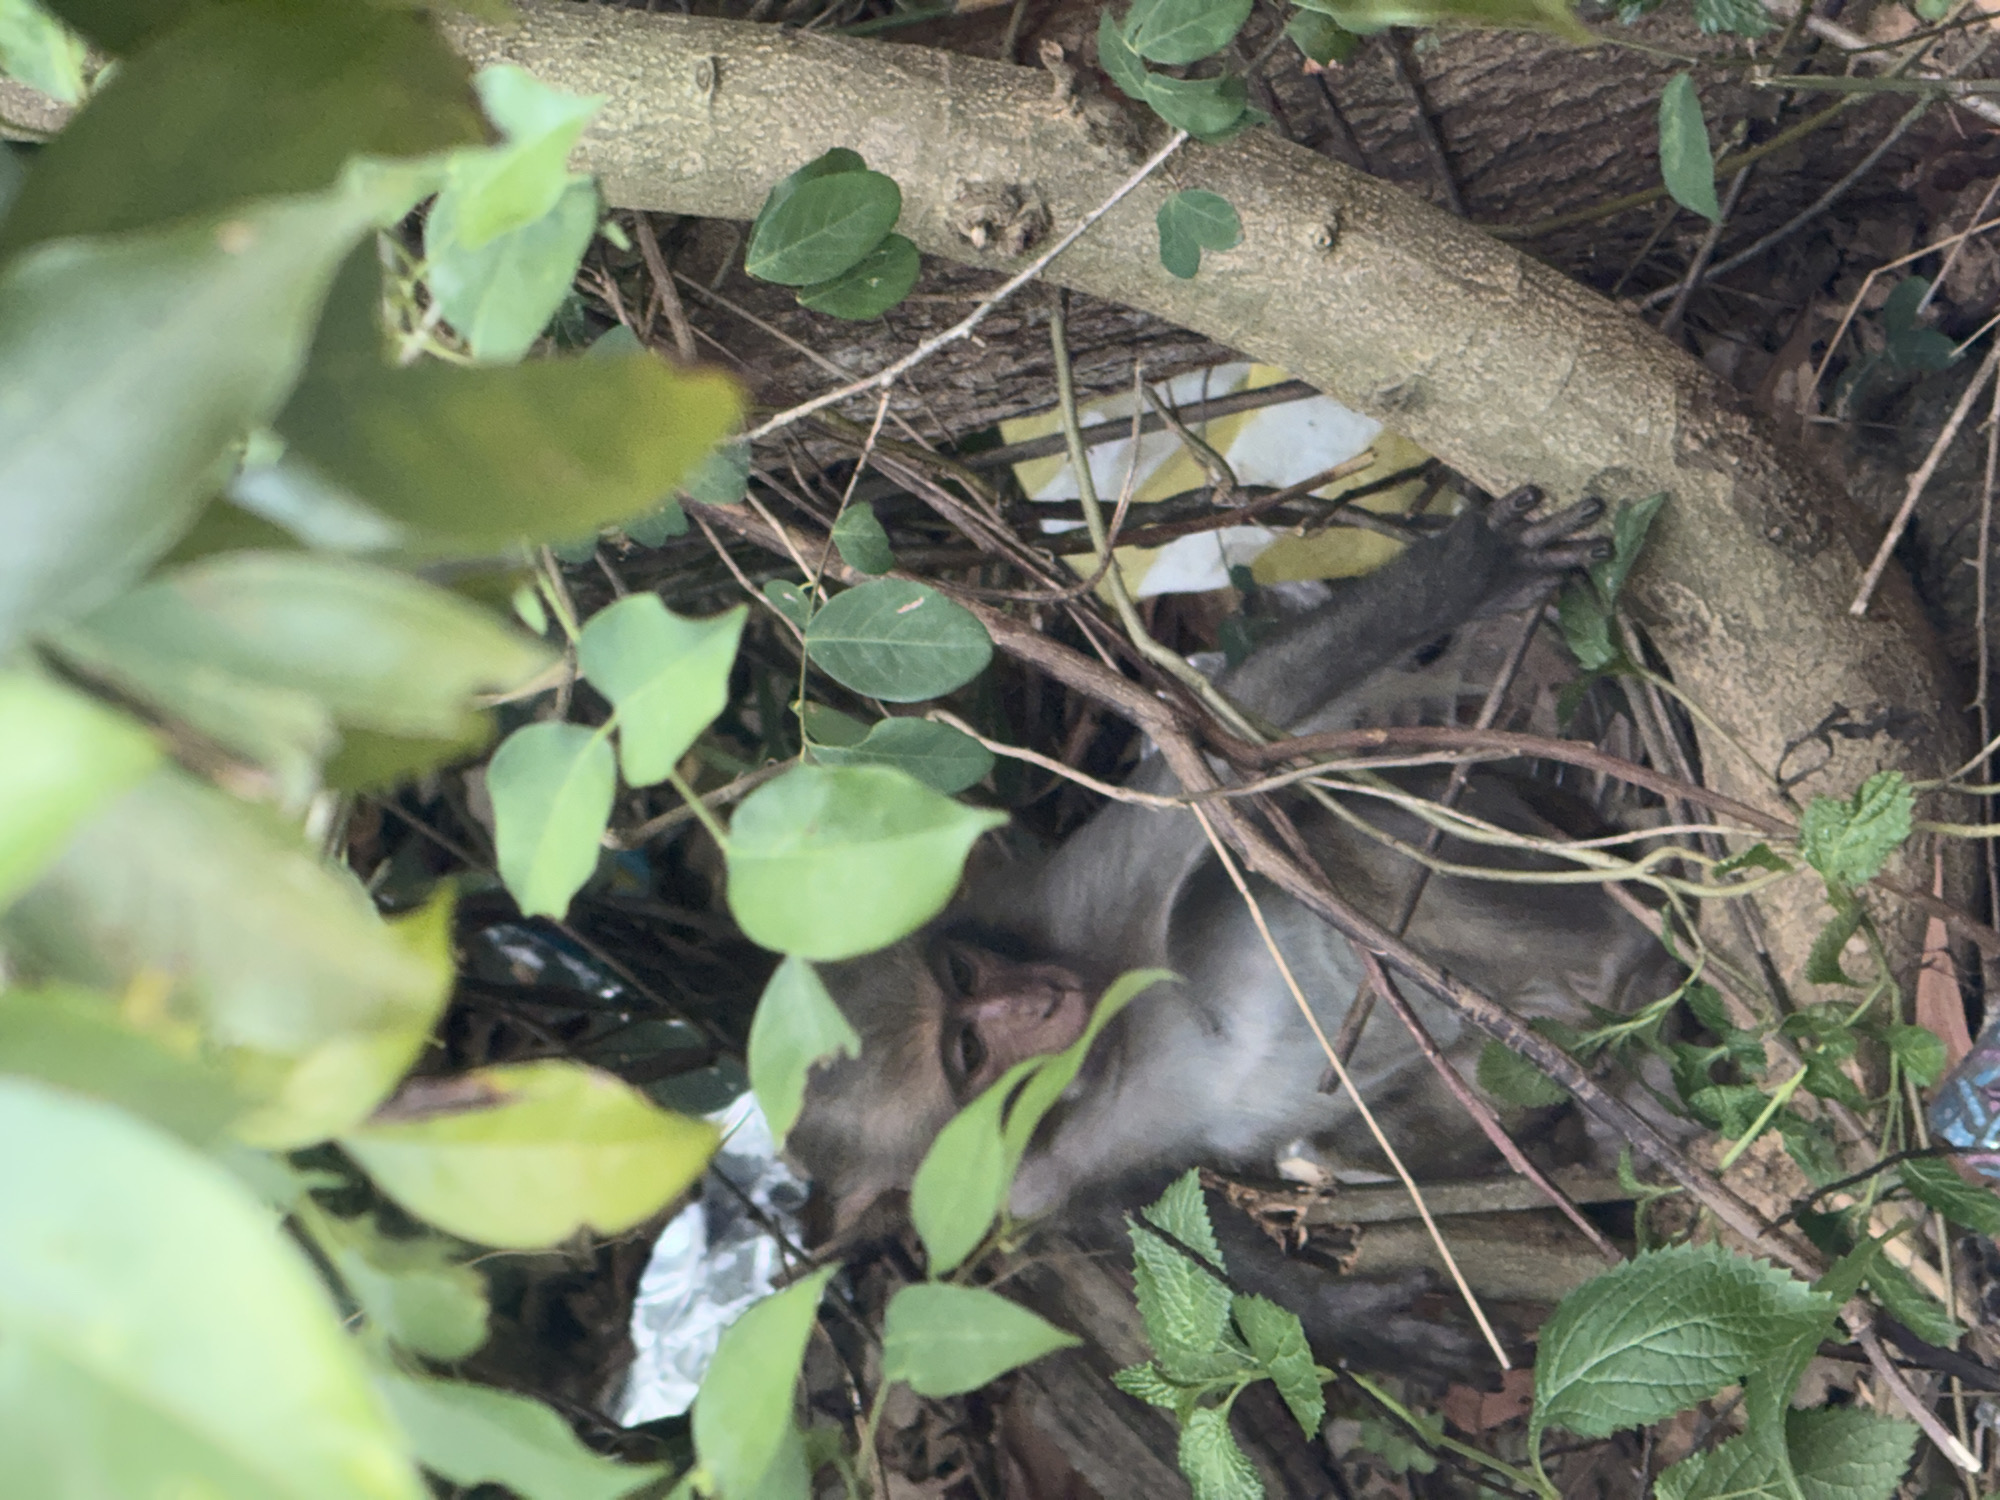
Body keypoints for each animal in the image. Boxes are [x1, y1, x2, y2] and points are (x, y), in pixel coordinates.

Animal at [785, 491, 1683, 1365]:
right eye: (968, 1050)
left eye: (964, 976)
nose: (1041, 1001)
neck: (1100, 1069)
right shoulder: (1025, 1181)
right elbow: (1160, 1218)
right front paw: (1352, 1321)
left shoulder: (1087, 900)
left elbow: (1227, 750)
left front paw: (1474, 571)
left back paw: (1622, 979)